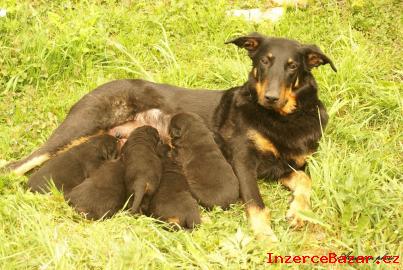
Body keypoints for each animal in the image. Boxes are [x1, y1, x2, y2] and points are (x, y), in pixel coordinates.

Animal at [6, 32, 336, 237]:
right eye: (264, 61)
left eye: (292, 66)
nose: (270, 97)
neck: (284, 118)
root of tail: (100, 86)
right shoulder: (243, 161)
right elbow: (257, 205)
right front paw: (266, 237)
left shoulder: (288, 164)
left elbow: (305, 180)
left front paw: (299, 212)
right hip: (79, 128)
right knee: (14, 165)